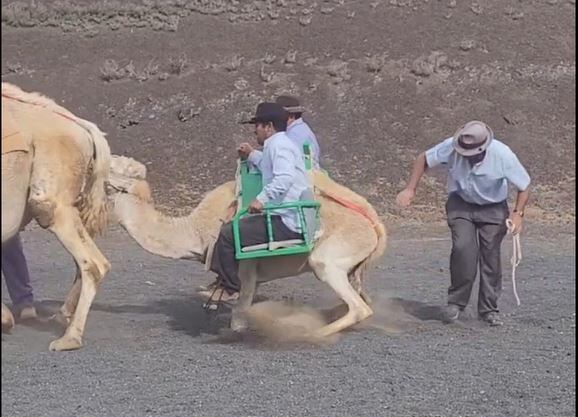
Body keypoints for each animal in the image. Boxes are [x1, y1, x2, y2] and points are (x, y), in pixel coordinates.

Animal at [108, 154, 388, 336]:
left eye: (115, 166)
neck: (195, 231)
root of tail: (374, 224)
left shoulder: (246, 268)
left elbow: (238, 316)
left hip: (330, 257)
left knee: (358, 306)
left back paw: (310, 334)